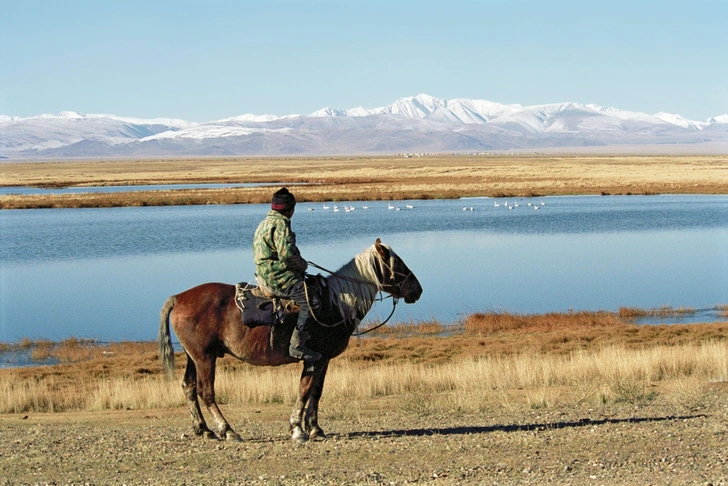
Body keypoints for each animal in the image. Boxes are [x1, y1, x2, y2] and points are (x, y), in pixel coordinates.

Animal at [158, 237, 420, 442]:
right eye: (397, 263)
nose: (417, 290)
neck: (335, 303)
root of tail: (179, 297)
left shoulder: (324, 359)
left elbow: (316, 392)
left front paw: (315, 428)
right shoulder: (313, 358)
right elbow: (304, 390)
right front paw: (297, 429)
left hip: (194, 357)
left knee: (189, 388)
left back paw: (204, 430)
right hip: (205, 358)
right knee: (207, 392)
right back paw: (228, 431)